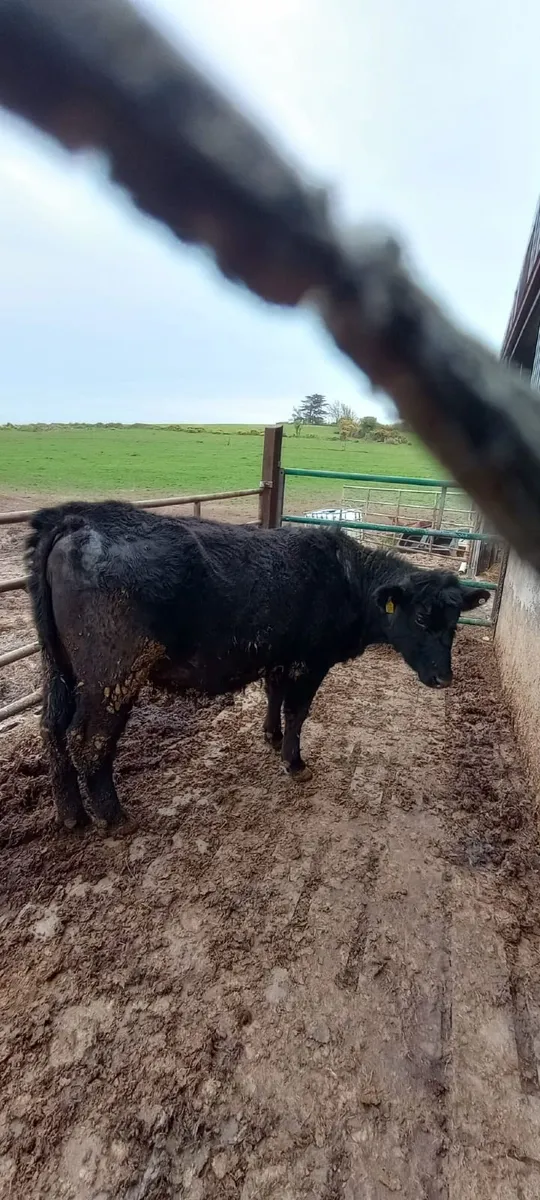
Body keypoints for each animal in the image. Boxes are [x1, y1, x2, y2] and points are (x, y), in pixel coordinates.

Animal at [26, 500, 489, 830]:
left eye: (454, 621)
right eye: (421, 617)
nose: (443, 678)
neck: (347, 579)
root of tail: (77, 518)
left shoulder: (278, 657)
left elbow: (273, 696)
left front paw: (271, 736)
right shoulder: (310, 662)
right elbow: (297, 710)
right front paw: (294, 762)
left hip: (58, 667)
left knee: (52, 728)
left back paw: (71, 814)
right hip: (113, 674)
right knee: (88, 739)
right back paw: (111, 815)